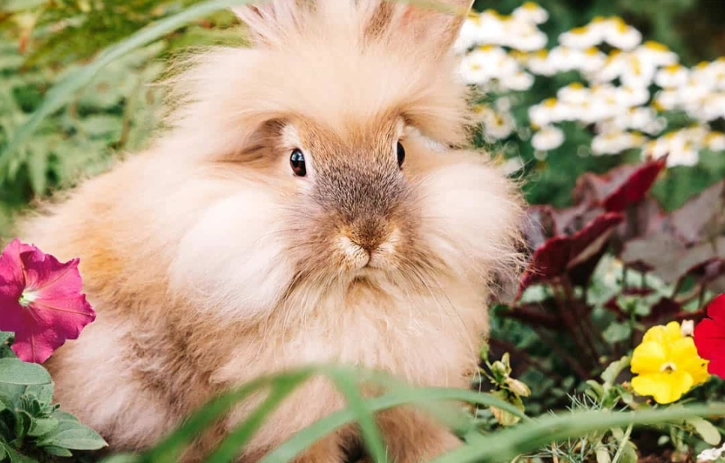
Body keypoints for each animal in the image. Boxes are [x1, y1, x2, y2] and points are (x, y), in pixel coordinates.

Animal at [17, 0, 524, 461]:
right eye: (297, 161)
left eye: (400, 152)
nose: (370, 237)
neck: (355, 291)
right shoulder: (292, 413)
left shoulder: (413, 396)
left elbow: (418, 441)